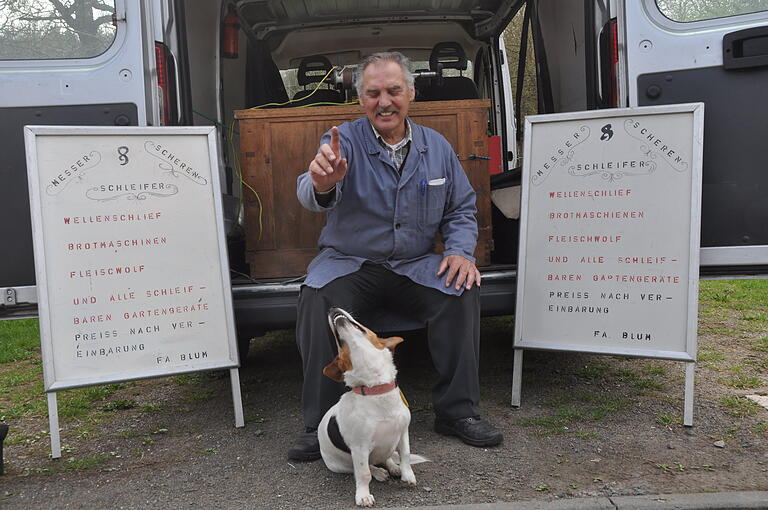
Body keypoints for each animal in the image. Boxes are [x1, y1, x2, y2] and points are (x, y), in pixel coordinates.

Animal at [318, 306, 426, 506]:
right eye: (339, 346)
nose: (332, 308)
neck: (376, 390)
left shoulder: (403, 433)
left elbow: (406, 455)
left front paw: (407, 475)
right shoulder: (360, 448)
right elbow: (363, 473)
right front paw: (363, 495)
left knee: (386, 458)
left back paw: (392, 467)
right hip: (340, 464)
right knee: (365, 467)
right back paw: (380, 472)